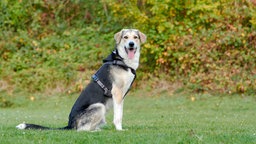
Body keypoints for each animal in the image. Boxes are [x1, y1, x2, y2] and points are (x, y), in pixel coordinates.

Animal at [16, 28, 146, 131]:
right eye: (125, 37)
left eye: (135, 37)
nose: (131, 44)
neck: (122, 61)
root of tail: (70, 124)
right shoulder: (117, 92)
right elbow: (118, 116)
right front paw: (119, 130)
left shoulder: (121, 96)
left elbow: (120, 113)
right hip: (99, 107)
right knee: (81, 130)